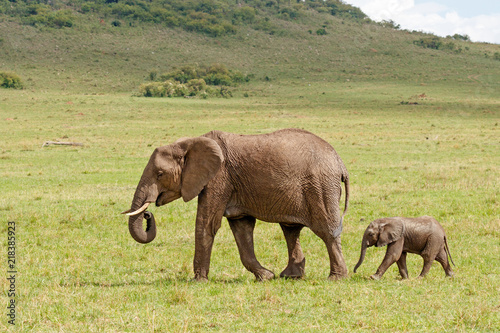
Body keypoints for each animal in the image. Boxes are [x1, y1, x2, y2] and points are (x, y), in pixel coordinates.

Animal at [122, 128, 350, 278]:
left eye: (160, 174)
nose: (147, 213)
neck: (189, 143)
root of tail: (340, 162)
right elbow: (242, 229)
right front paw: (266, 276)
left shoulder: (218, 177)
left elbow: (206, 224)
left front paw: (198, 281)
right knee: (291, 230)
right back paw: (289, 276)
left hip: (320, 186)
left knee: (326, 230)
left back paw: (336, 278)